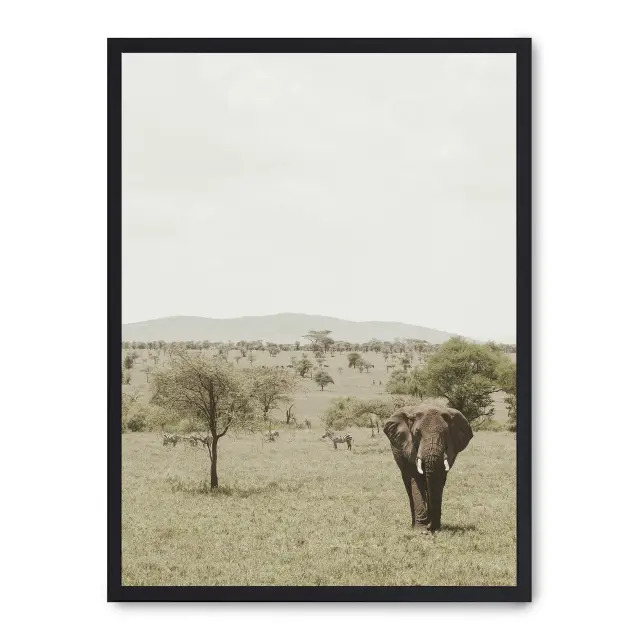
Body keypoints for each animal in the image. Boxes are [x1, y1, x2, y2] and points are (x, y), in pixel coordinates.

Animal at [383, 404, 473, 532]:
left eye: (446, 433)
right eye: (417, 433)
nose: (432, 528)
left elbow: (438, 481)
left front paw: (434, 528)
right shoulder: (409, 447)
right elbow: (416, 480)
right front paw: (421, 530)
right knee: (408, 486)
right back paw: (414, 524)